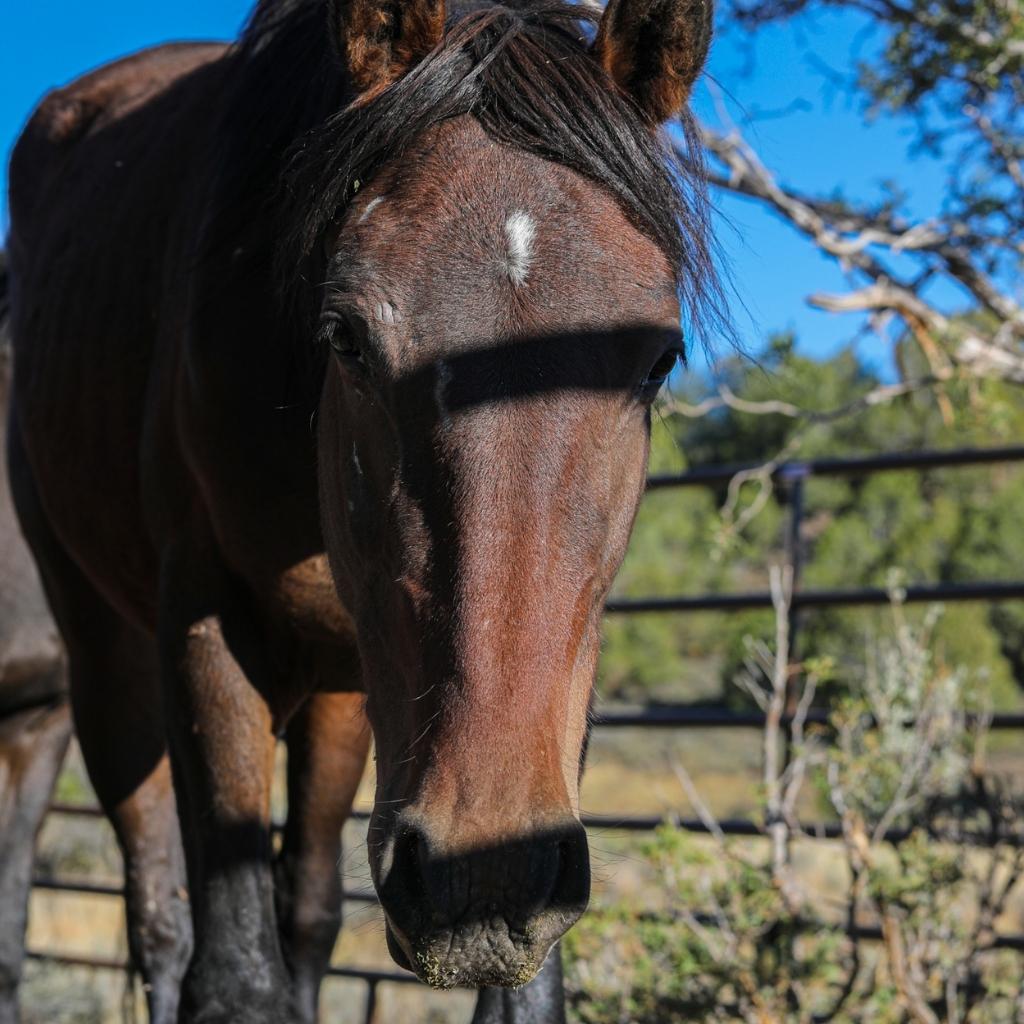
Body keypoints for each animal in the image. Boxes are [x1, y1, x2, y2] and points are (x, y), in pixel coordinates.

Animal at [4, 0, 720, 1019]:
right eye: (344, 335)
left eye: (659, 358)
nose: (480, 879)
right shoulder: (205, 626)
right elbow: (234, 975)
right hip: (101, 658)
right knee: (158, 914)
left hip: (343, 698)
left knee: (304, 912)